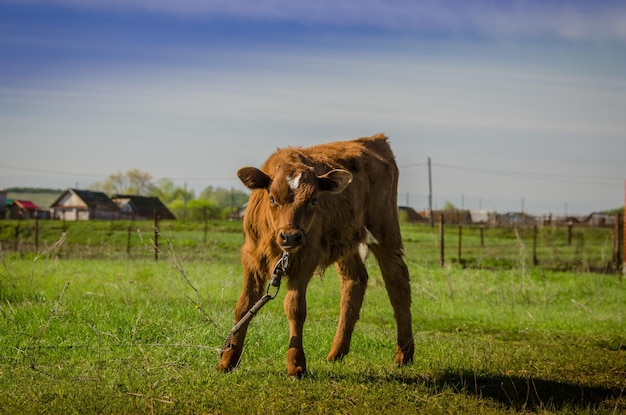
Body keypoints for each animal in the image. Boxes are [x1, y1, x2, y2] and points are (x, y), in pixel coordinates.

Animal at [217, 135, 412, 378]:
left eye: (313, 200)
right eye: (272, 198)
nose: (290, 236)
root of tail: (373, 139)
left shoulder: (305, 258)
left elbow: (295, 308)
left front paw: (296, 363)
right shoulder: (252, 257)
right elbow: (245, 306)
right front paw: (228, 359)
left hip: (385, 229)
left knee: (397, 281)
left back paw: (404, 353)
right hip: (345, 241)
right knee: (355, 280)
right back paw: (337, 352)